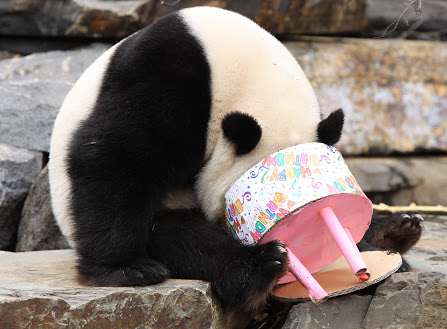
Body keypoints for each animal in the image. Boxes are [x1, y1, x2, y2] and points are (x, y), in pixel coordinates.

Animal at [50, 6, 424, 316]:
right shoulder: (170, 75)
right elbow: (116, 155)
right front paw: (125, 269)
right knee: (184, 240)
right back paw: (261, 266)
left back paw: (394, 232)